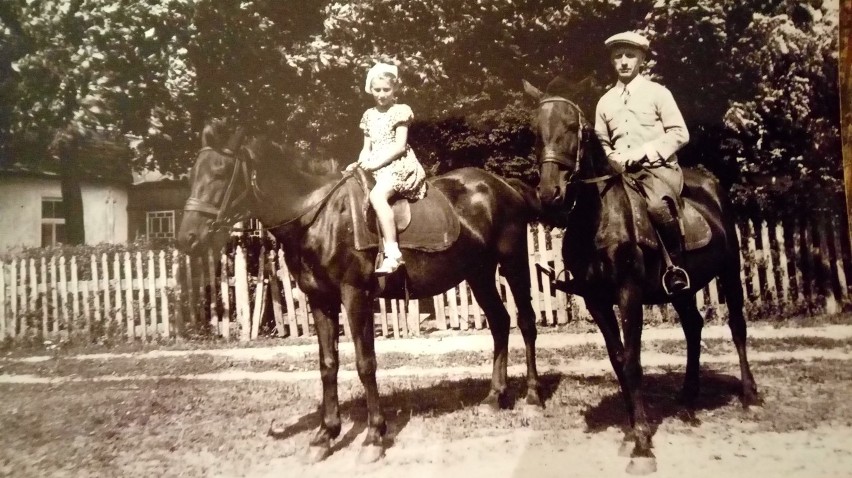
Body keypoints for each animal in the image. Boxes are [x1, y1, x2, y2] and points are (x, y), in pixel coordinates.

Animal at [176, 121, 544, 464]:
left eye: (220, 172)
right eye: (193, 173)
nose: (187, 238)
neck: (317, 218)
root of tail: (504, 185)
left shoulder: (355, 296)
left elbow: (365, 363)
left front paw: (373, 437)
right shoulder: (320, 301)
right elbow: (328, 364)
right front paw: (325, 435)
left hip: (513, 263)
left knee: (526, 322)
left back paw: (533, 396)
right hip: (478, 274)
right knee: (500, 322)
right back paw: (495, 397)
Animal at [524, 79, 764, 474]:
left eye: (573, 128)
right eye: (535, 130)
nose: (549, 193)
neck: (599, 217)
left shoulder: (629, 294)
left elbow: (634, 361)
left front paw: (641, 445)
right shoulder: (597, 301)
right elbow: (618, 360)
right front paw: (632, 431)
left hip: (729, 271)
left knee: (737, 327)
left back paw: (749, 395)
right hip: (681, 289)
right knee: (693, 327)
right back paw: (687, 400)